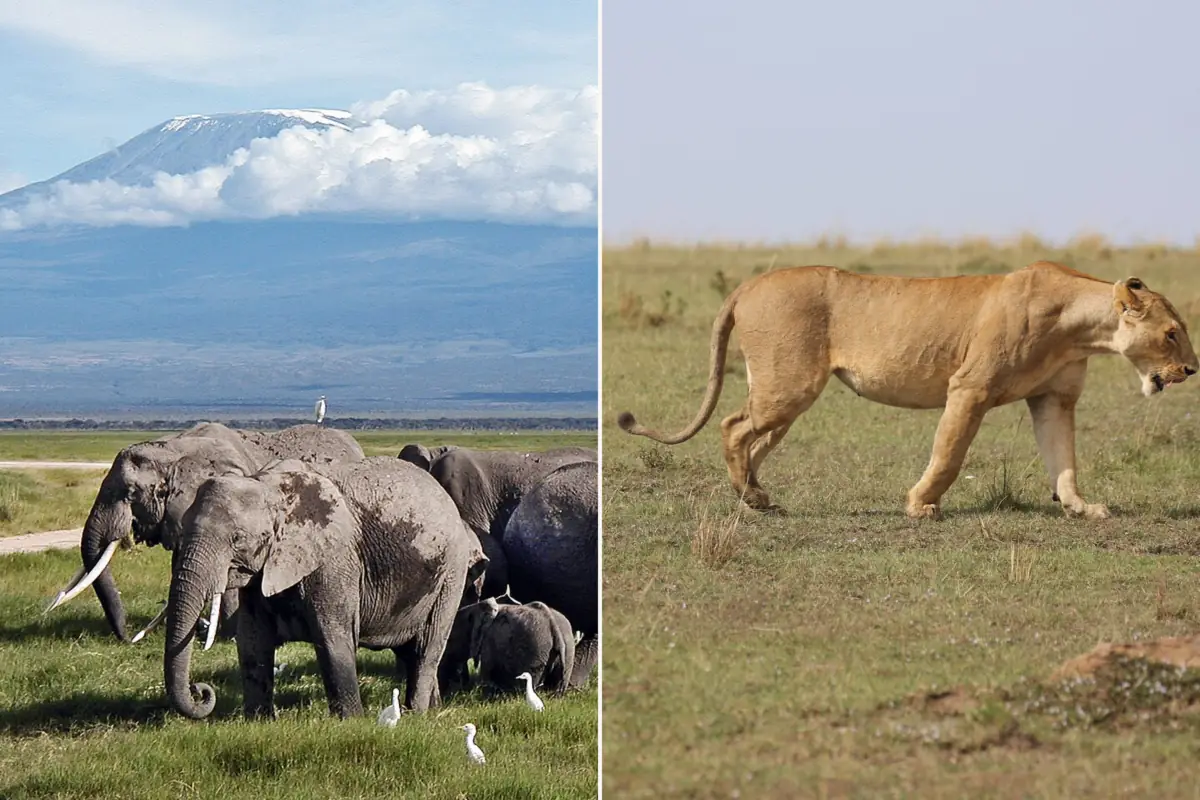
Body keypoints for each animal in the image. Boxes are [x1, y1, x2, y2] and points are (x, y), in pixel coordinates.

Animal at [164, 456, 481, 720]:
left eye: (237, 538)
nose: (200, 690)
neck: (269, 486)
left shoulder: (335, 561)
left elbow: (333, 640)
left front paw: (351, 722)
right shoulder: (261, 574)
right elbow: (252, 643)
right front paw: (258, 722)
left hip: (452, 573)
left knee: (427, 648)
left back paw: (416, 714)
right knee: (408, 651)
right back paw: (433, 709)